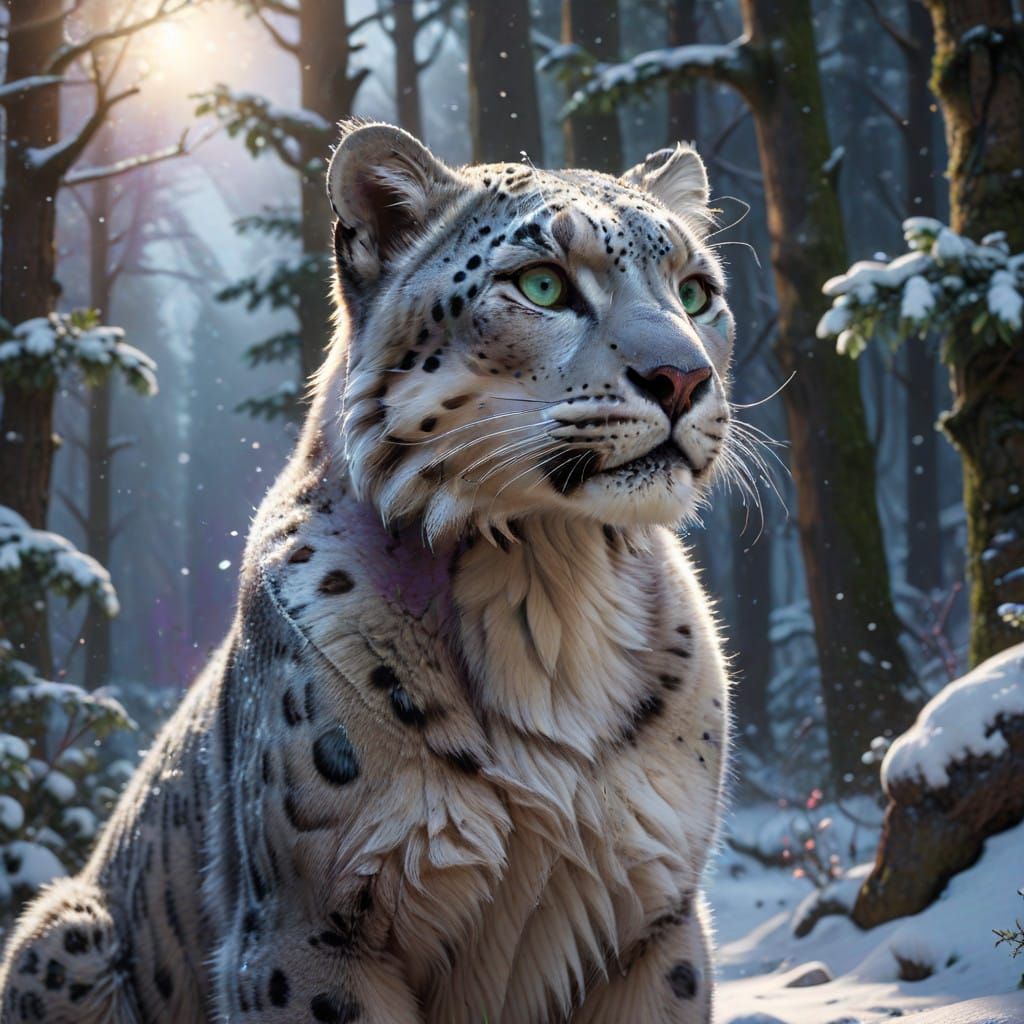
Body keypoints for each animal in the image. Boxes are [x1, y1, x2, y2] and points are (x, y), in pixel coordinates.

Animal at [0, 121, 735, 1023]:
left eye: (696, 292)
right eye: (542, 283)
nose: (684, 377)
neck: (550, 593)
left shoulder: (656, 918)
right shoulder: (310, 930)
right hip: (62, 931)